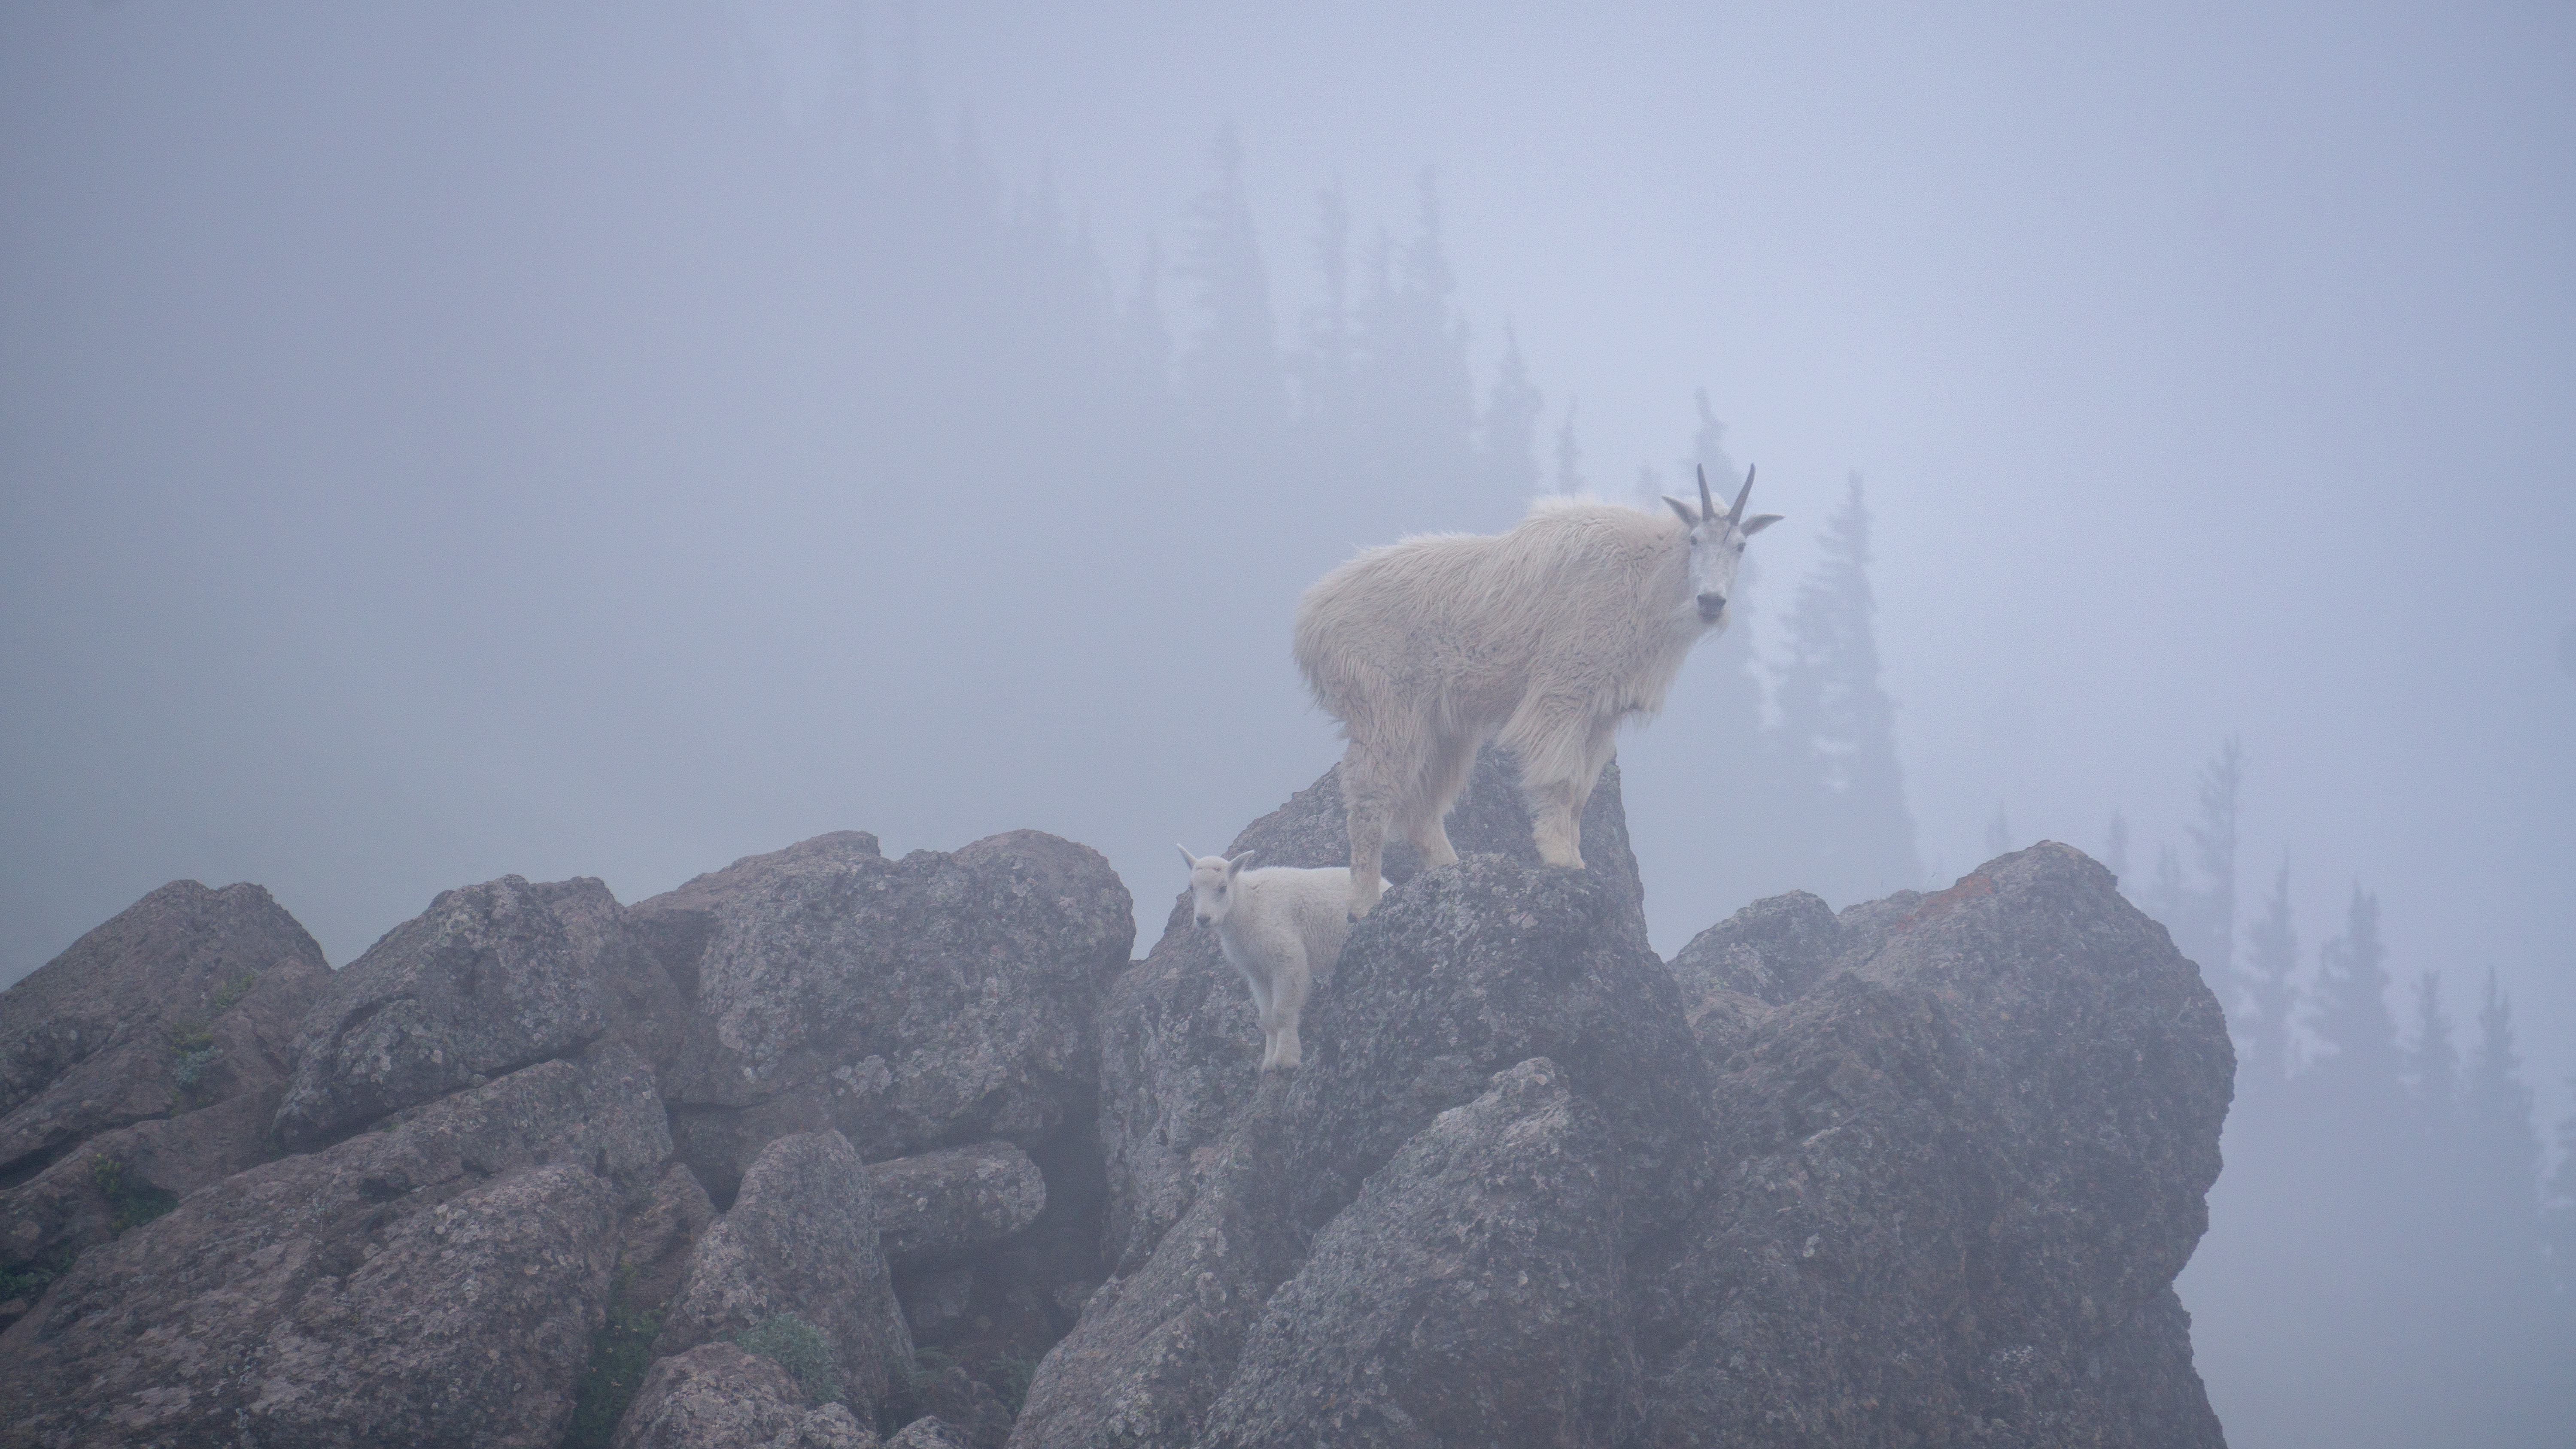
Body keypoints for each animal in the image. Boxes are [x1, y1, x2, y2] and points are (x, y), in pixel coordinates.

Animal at [1178, 847, 1353, 1071]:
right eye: (1191, 888)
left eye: (1223, 888)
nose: (1203, 919)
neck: (1247, 906)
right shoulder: (1258, 972)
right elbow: (1267, 1018)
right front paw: (1269, 1062)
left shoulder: (1287, 957)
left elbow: (1281, 1012)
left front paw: (1287, 1059)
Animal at [1294, 466, 1781, 915]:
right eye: (1695, 540)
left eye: (1741, 546)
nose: (1711, 602)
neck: (1646, 578)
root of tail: (1312, 616)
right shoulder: (1564, 690)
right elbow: (1561, 779)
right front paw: (1559, 857)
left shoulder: (1603, 712)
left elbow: (1583, 792)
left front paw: (1578, 858)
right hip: (1383, 707)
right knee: (1370, 800)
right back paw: (1364, 903)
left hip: (1445, 726)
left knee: (1424, 809)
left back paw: (1452, 870)